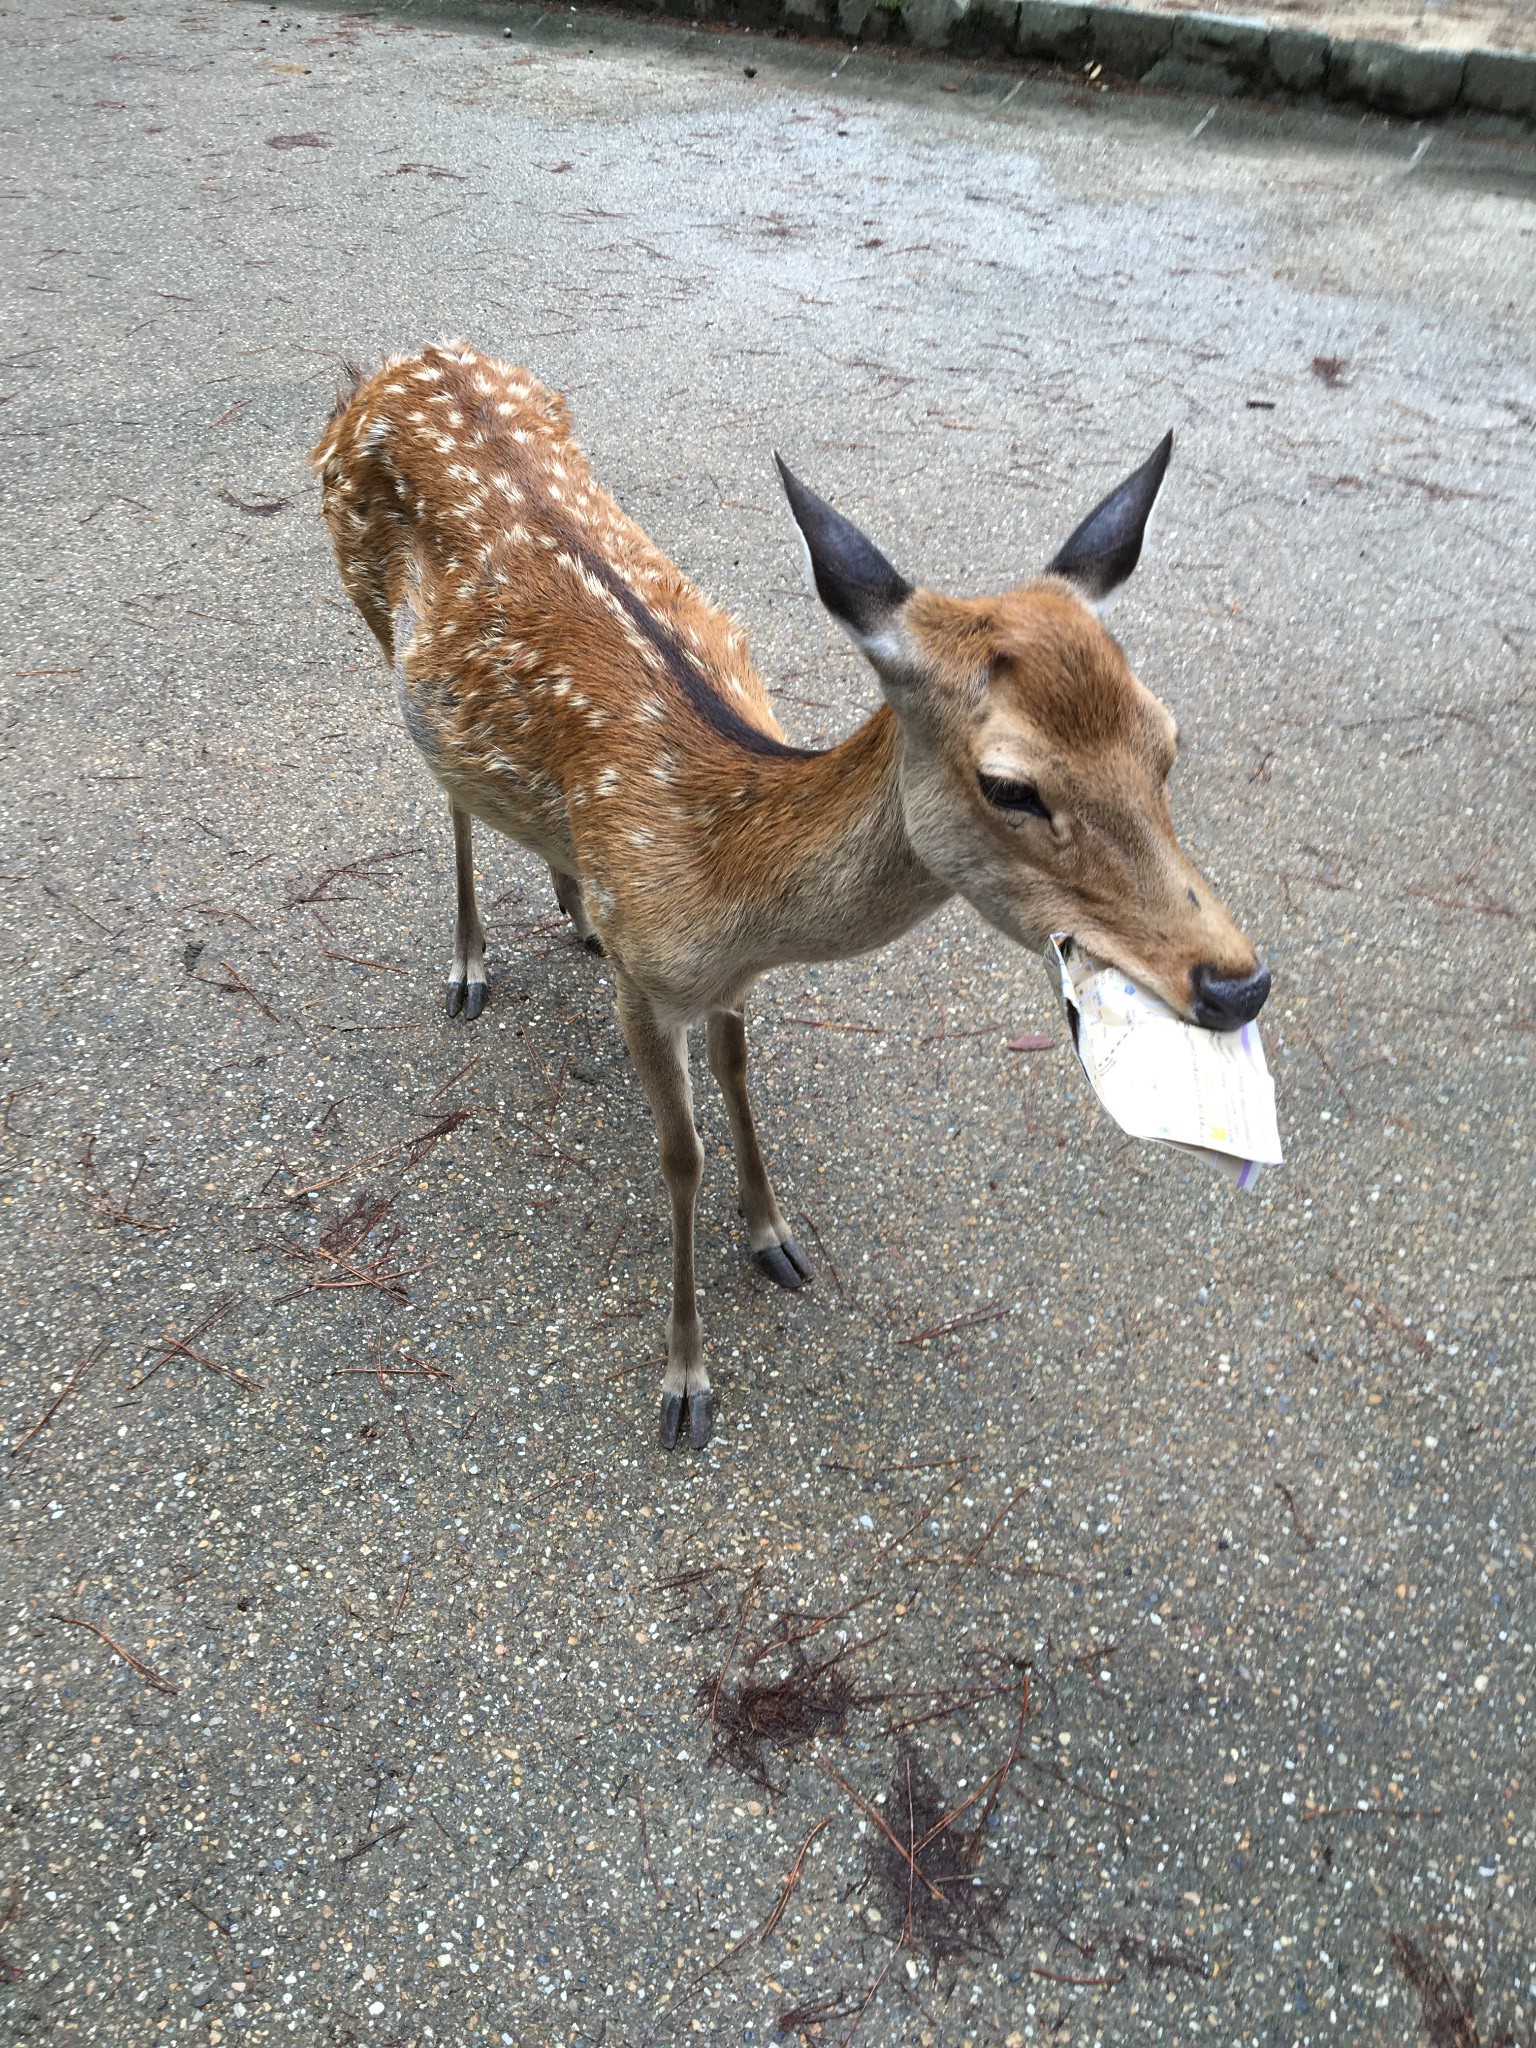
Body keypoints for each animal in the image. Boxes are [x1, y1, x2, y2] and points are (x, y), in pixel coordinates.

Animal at [307, 344, 1269, 1449]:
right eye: (1012, 785)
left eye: (1167, 741)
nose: (1239, 983)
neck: (722, 882)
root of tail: (395, 364)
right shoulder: (647, 988)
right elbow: (678, 1152)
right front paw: (686, 1379)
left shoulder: (726, 979)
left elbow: (737, 1074)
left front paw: (772, 1233)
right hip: (373, 617)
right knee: (446, 788)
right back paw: (467, 964)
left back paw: (571, 901)